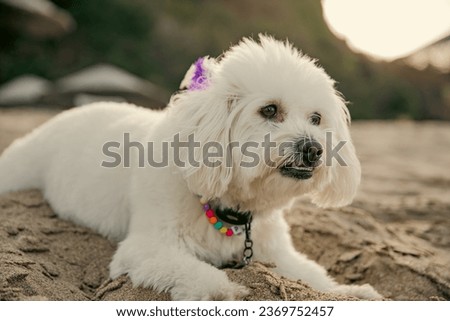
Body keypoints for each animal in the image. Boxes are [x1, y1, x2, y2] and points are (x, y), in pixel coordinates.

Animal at [0, 36, 384, 298]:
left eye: (317, 118)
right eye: (270, 110)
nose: (314, 149)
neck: (229, 209)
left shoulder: (276, 253)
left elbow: (313, 277)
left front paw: (351, 293)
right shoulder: (148, 249)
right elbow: (195, 273)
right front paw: (225, 290)